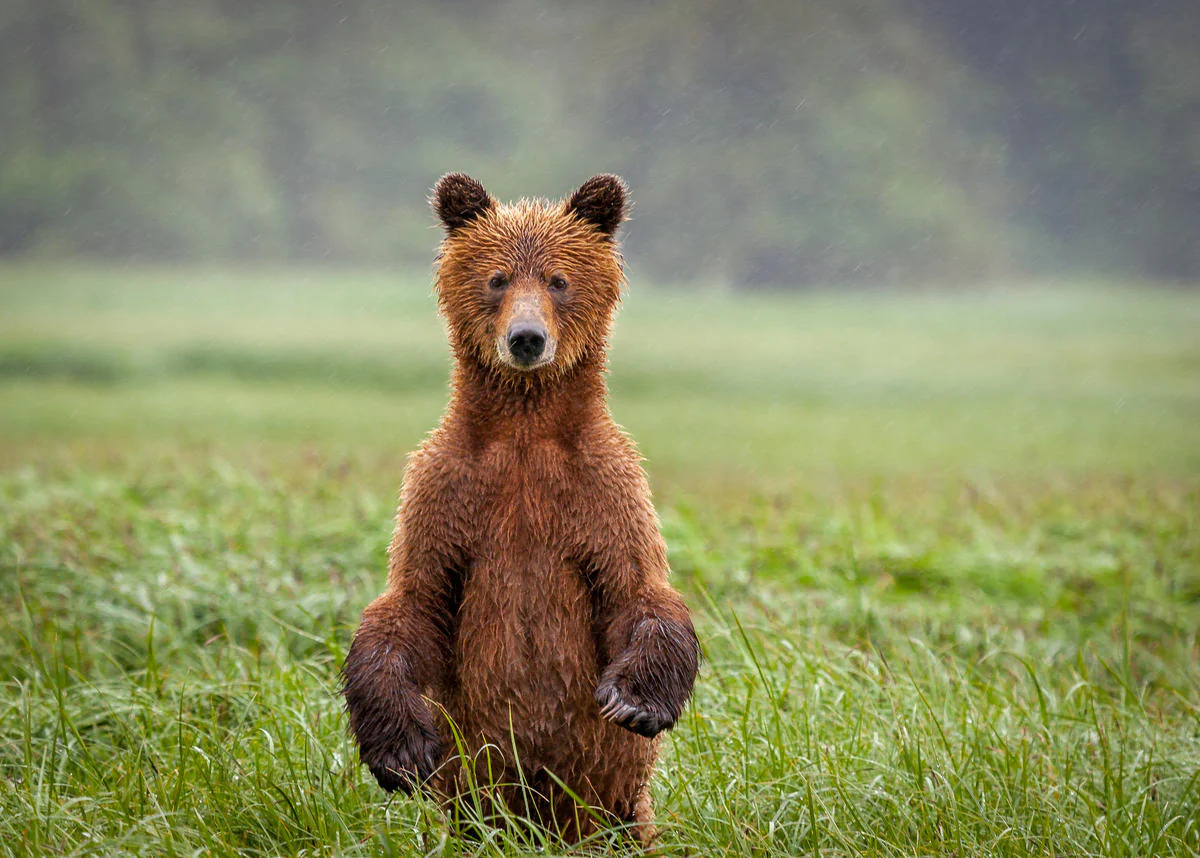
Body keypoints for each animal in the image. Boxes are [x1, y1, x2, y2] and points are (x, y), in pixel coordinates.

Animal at [341, 173, 700, 846]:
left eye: (558, 279)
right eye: (497, 278)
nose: (527, 338)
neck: (525, 432)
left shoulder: (602, 488)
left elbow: (637, 592)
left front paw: (633, 701)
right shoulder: (449, 489)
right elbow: (411, 605)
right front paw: (401, 751)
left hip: (613, 799)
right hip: (478, 791)